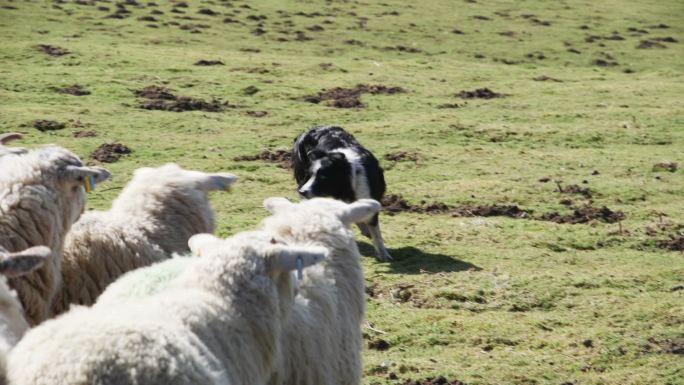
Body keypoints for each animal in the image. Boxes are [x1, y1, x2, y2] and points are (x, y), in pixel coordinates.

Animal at [292, 124, 392, 260]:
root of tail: (309, 129)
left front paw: (383, 253)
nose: (302, 191)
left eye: (322, 177)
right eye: (310, 175)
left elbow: (375, 231)